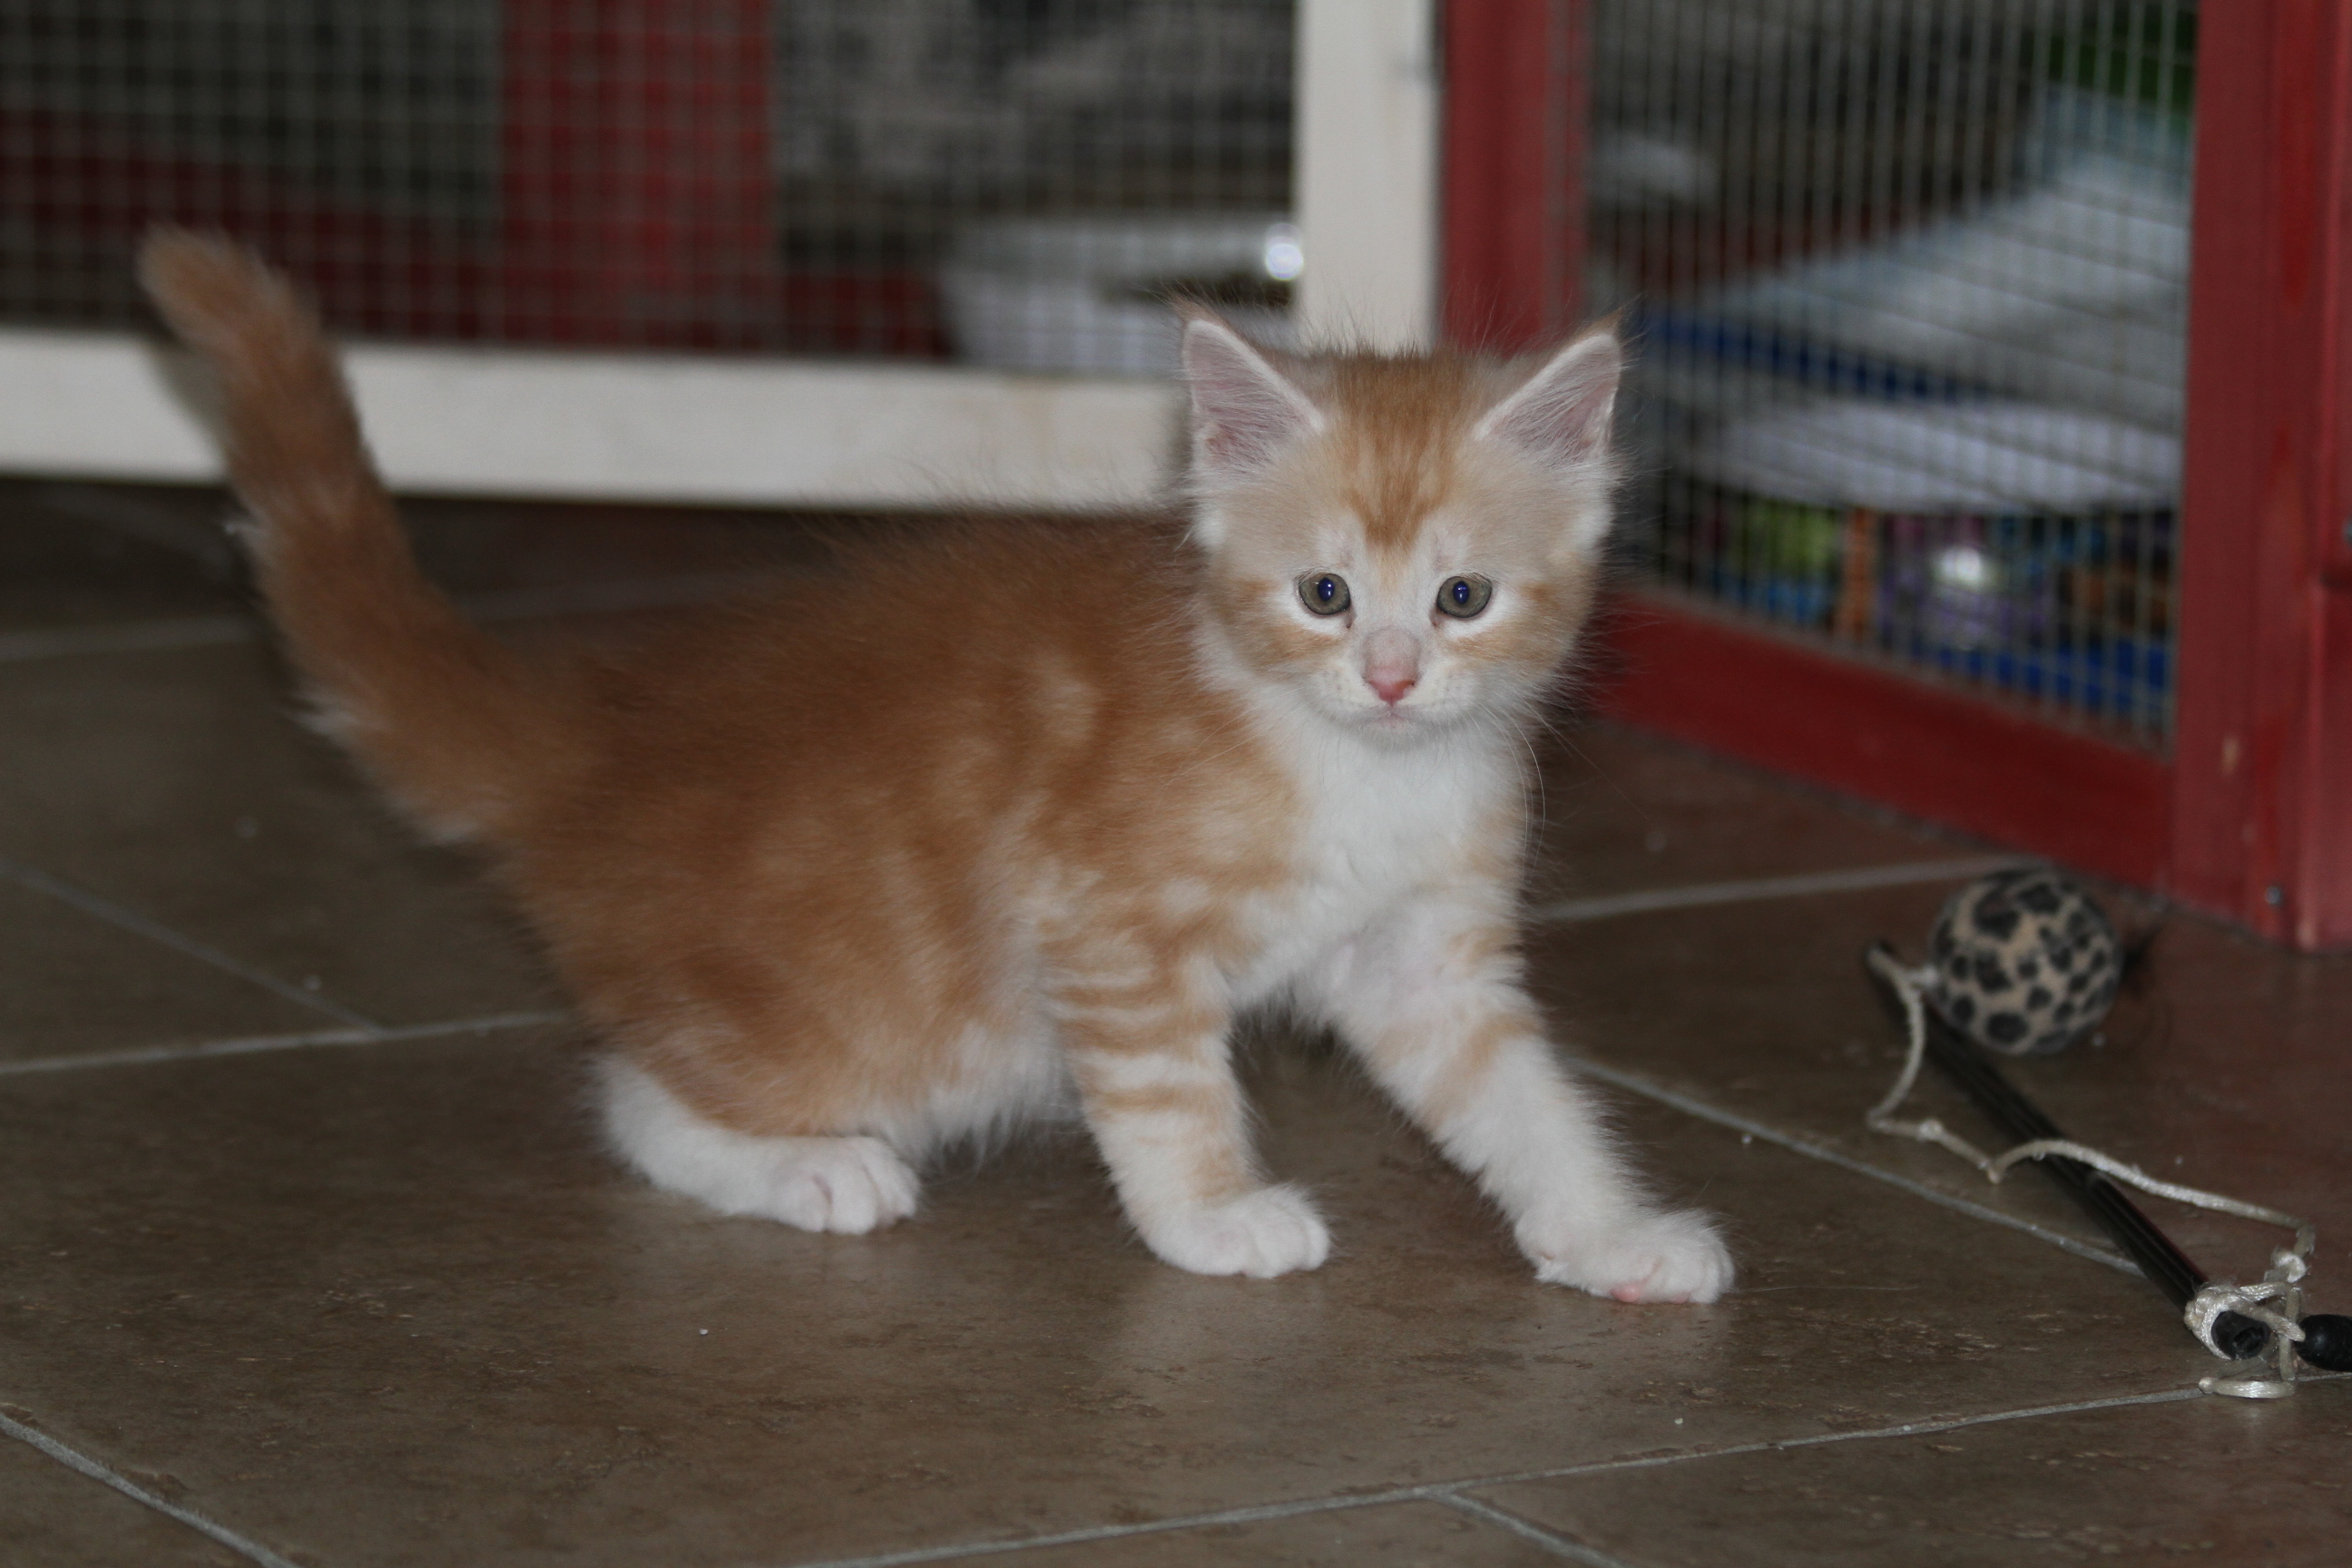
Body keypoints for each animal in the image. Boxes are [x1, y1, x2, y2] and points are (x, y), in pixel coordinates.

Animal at [147, 232, 1730, 1307]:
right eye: (1325, 596)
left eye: (1461, 599)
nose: (1392, 678)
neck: (1354, 763)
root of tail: (604, 741)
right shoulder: (1101, 920)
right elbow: (1168, 1094)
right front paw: (1213, 1218)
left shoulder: (1425, 957)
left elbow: (1525, 1096)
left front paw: (1611, 1230)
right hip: (889, 1023)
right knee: (635, 1098)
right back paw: (809, 1164)